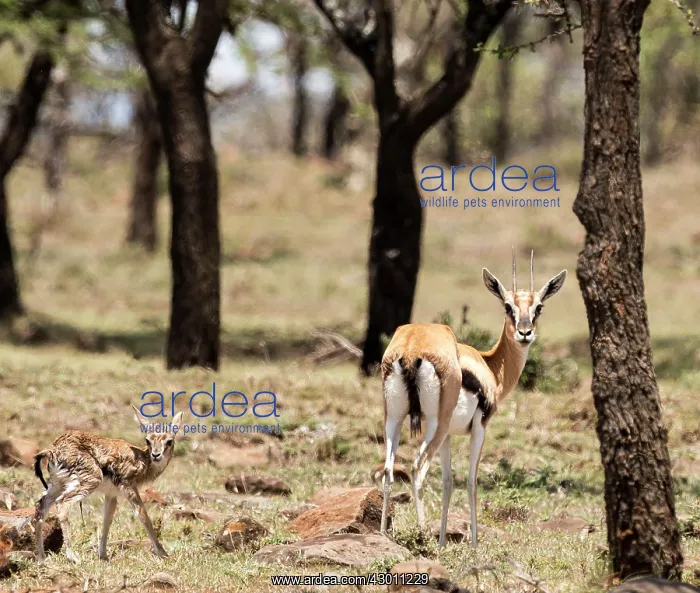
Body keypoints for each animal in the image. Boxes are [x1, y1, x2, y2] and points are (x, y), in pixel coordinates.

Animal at [33, 406, 183, 562]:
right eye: (148, 440)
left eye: (169, 441)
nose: (156, 455)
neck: (142, 459)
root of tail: (54, 449)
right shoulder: (129, 488)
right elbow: (143, 515)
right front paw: (163, 553)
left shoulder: (111, 494)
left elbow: (107, 519)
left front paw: (103, 556)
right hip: (89, 482)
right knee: (62, 503)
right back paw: (73, 556)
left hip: (58, 485)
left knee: (41, 506)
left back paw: (41, 558)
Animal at [379, 250, 566, 547]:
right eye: (507, 306)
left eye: (538, 307)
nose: (525, 333)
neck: (490, 366)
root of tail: (410, 350)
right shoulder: (479, 428)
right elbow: (470, 481)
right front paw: (474, 544)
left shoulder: (448, 437)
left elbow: (447, 482)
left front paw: (443, 541)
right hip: (436, 424)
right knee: (418, 469)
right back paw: (421, 535)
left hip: (395, 420)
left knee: (388, 470)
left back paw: (384, 534)